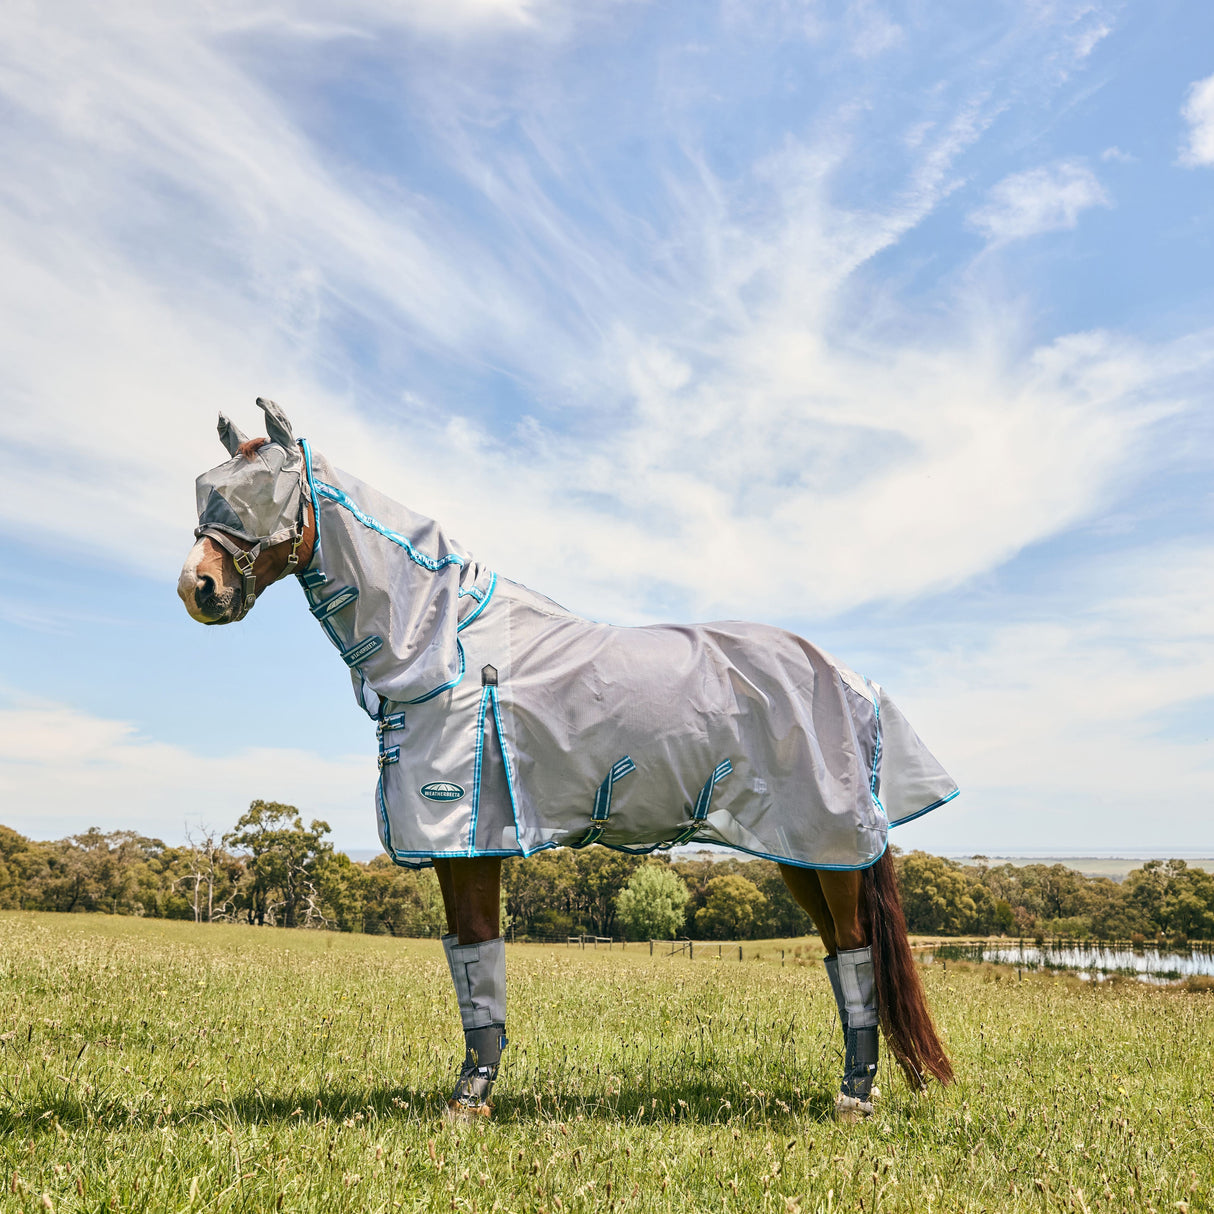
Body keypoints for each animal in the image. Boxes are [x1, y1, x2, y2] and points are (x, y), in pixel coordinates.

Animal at [179, 398, 956, 1116]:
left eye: (264, 493)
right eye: (204, 488)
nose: (198, 589)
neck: (446, 644)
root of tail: (851, 681)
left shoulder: (471, 840)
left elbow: (480, 944)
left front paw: (471, 1098)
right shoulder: (457, 848)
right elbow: (470, 962)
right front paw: (472, 1088)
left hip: (829, 843)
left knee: (855, 949)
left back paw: (855, 1096)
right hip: (805, 852)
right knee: (840, 953)